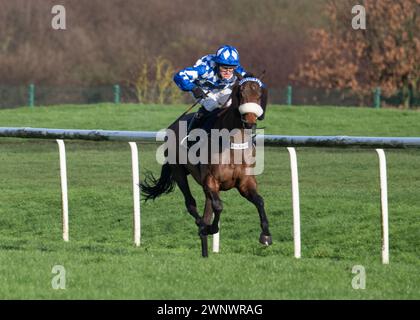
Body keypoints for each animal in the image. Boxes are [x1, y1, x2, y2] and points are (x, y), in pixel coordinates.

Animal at [141, 75, 272, 258]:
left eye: (259, 95)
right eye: (241, 93)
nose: (250, 121)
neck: (231, 144)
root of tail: (173, 125)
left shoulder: (245, 182)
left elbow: (259, 201)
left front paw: (266, 235)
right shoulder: (211, 180)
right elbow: (219, 206)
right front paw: (210, 228)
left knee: (206, 209)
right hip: (179, 172)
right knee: (191, 203)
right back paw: (202, 226)